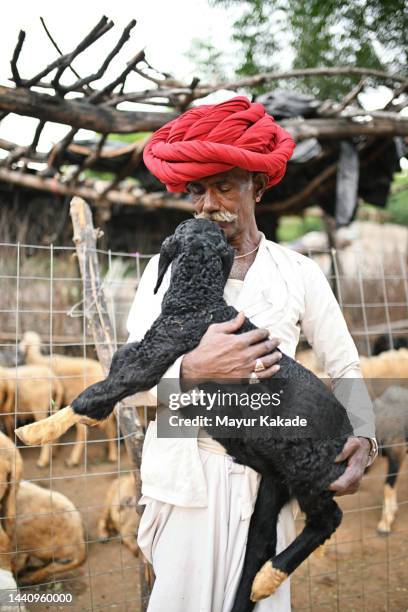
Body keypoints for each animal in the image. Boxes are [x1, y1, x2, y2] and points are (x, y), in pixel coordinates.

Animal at [19, 332, 118, 466]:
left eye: (24, 339)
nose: (19, 350)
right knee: (109, 427)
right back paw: (112, 454)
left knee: (85, 432)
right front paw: (55, 451)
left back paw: (73, 460)